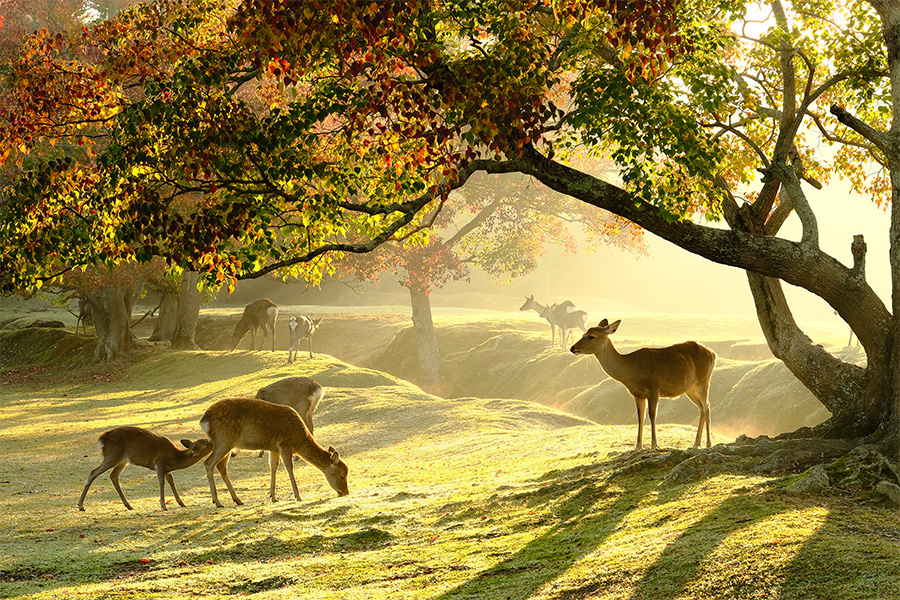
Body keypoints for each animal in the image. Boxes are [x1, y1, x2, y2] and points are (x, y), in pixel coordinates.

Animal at [75, 426, 213, 510]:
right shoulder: (159, 463)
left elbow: (172, 482)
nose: (212, 441)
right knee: (93, 472)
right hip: (112, 456)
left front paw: (182, 503)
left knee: (113, 475)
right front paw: (163, 505)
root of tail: (101, 440)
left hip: (122, 460)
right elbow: (162, 482)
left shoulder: (167, 469)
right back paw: (81, 505)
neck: (175, 457)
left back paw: (128, 505)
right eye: (205, 443)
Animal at [199, 398, 350, 506]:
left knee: (221, 466)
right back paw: (217, 502)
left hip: (227, 444)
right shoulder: (284, 445)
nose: (346, 492)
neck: (299, 441)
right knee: (208, 463)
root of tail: (203, 421)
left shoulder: (274, 449)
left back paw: (238, 500)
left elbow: (273, 467)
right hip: (224, 439)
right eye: (342, 475)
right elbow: (289, 468)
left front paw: (273, 496)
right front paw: (298, 496)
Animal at [568, 318, 716, 450]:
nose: (572, 348)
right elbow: (640, 417)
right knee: (702, 408)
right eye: (583, 334)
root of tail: (713, 354)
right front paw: (637, 447)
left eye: (591, 336)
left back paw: (708, 444)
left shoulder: (654, 388)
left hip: (703, 381)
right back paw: (696, 444)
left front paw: (654, 445)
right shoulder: (637, 394)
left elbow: (652, 414)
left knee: (707, 407)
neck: (631, 371)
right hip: (690, 389)